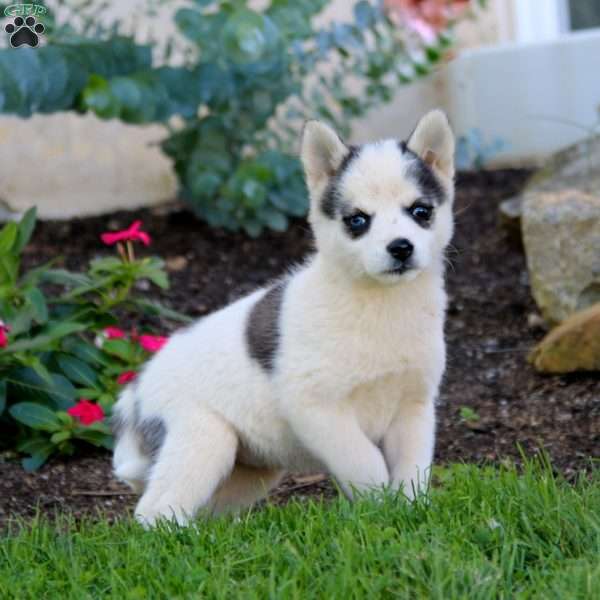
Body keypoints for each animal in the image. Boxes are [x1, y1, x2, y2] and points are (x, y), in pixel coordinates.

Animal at [111, 109, 454, 524]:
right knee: (155, 511)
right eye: (357, 221)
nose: (401, 248)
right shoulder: (316, 408)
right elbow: (366, 462)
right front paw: (379, 508)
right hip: (203, 438)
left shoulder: (414, 407)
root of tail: (135, 393)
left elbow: (411, 469)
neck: (381, 306)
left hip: (247, 471)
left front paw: (409, 512)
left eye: (421, 212)